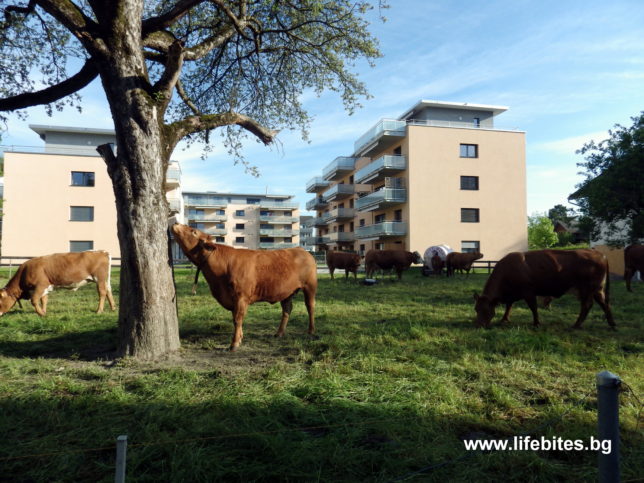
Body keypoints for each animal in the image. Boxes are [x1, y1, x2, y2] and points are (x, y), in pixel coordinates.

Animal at [170, 223, 316, 352]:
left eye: (193, 231)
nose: (175, 223)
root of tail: (301, 250)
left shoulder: (241, 297)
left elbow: (237, 319)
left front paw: (234, 344)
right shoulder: (232, 299)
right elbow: (235, 319)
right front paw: (239, 338)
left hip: (310, 286)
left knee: (310, 307)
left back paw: (311, 331)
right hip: (287, 292)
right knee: (287, 310)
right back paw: (279, 333)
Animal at [472, 250, 612, 328]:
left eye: (486, 310)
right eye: (476, 309)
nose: (478, 325)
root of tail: (600, 254)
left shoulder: (528, 292)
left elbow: (533, 308)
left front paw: (537, 323)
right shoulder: (512, 294)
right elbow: (509, 306)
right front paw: (504, 319)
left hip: (587, 289)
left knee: (587, 305)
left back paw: (576, 325)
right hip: (597, 289)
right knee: (604, 304)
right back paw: (612, 324)